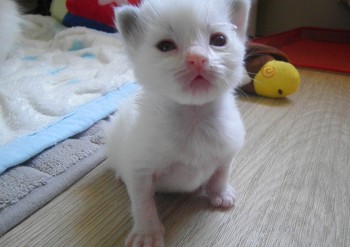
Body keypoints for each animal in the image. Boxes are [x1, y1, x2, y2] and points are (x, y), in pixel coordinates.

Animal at [106, 0, 249, 246]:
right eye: (165, 46)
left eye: (219, 40)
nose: (197, 58)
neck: (194, 116)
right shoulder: (139, 169)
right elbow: (143, 202)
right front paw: (147, 232)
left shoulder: (227, 152)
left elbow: (221, 174)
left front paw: (220, 193)